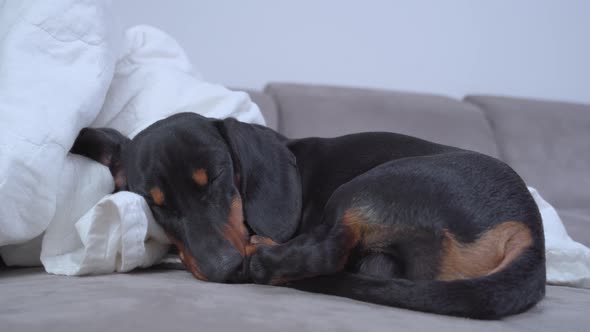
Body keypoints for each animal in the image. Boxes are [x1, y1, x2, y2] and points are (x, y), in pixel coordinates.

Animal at [71, 112, 548, 320]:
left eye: (219, 178)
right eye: (157, 204)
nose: (224, 269)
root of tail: (526, 231)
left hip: (368, 185)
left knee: (328, 250)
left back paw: (264, 256)